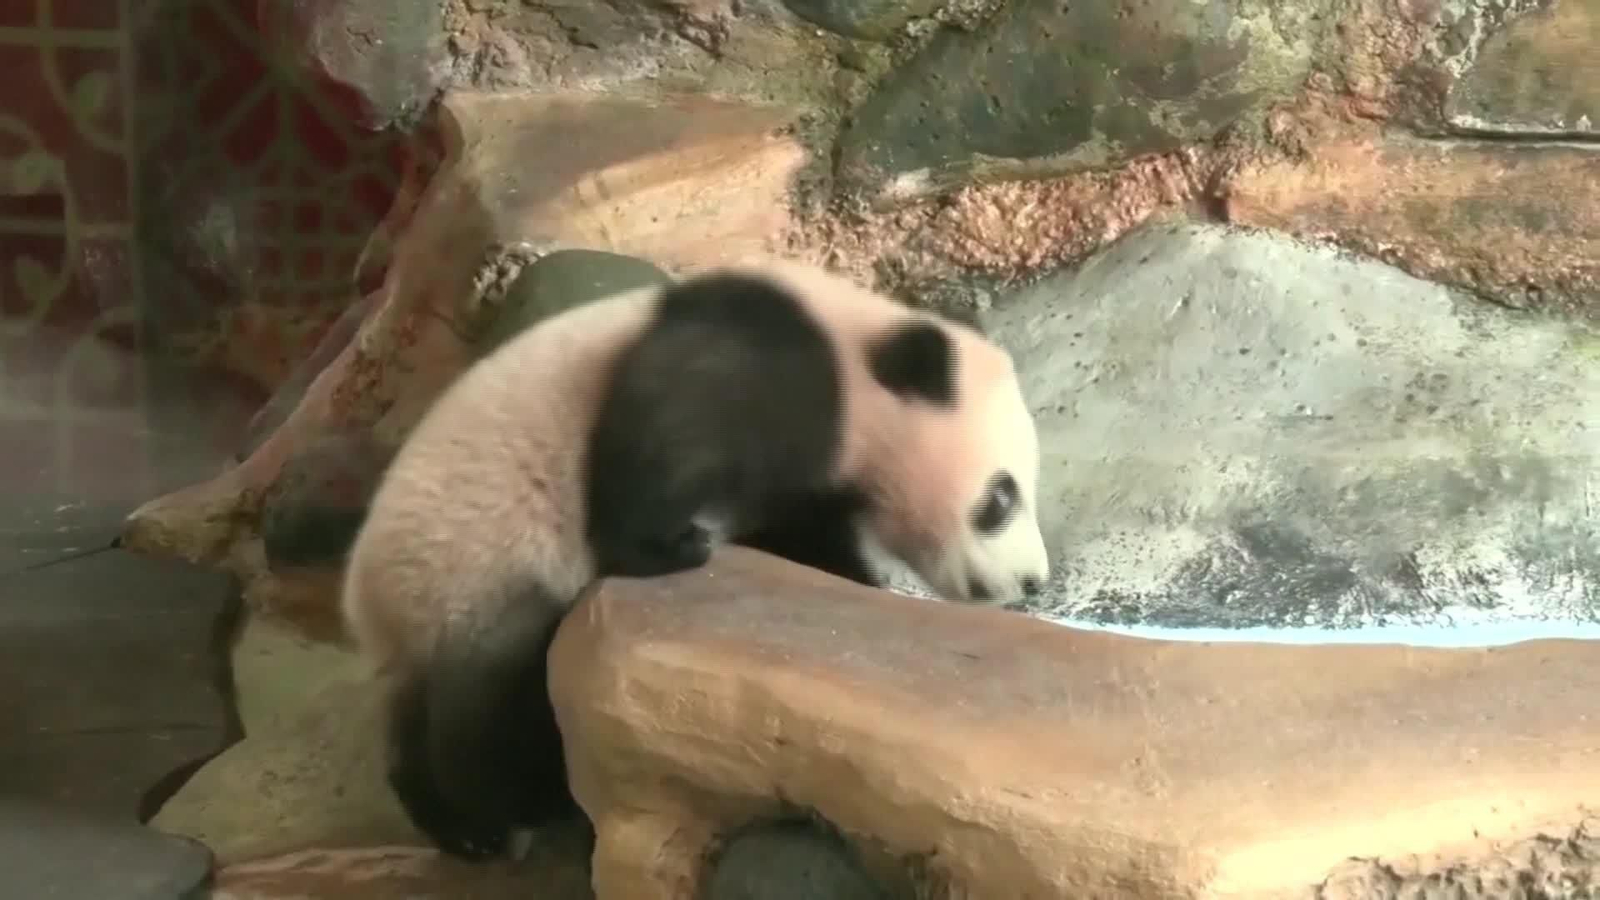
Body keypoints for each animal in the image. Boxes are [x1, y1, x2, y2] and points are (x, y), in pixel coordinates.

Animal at [339, 259, 1051, 861]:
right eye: (1000, 497)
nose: (1032, 581)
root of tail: (364, 602)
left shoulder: (804, 486)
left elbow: (808, 543)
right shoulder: (768, 359)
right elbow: (668, 440)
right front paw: (668, 547)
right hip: (474, 578)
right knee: (487, 709)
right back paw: (513, 812)